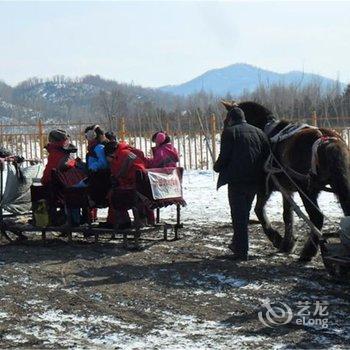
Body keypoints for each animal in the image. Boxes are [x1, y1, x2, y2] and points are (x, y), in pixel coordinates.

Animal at [221, 100, 350, 262]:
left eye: (226, 121)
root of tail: (325, 140)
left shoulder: (265, 186)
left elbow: (259, 210)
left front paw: (276, 238)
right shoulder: (287, 189)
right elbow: (287, 215)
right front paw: (287, 244)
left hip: (307, 189)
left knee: (317, 217)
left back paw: (308, 252)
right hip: (337, 185)